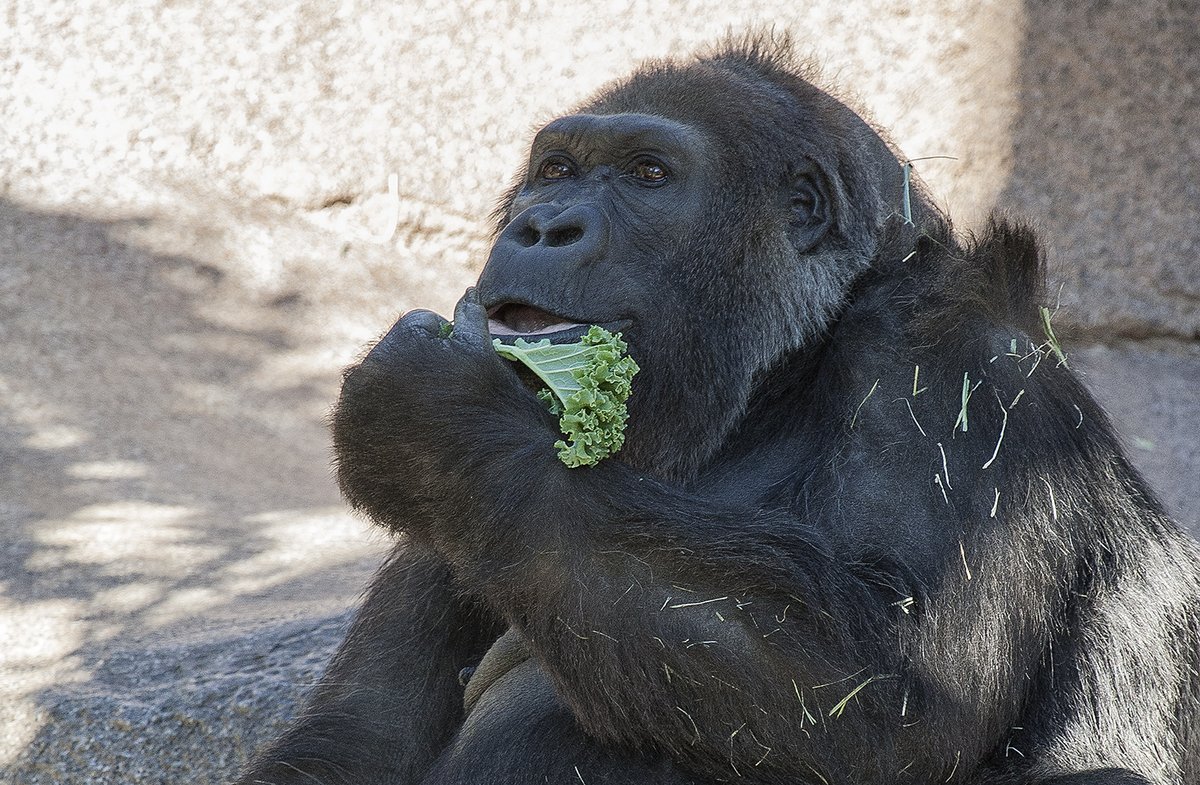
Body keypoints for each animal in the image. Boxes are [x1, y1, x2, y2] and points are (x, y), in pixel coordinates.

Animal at [234, 39, 1200, 785]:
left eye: (648, 175)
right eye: (557, 170)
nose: (543, 224)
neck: (767, 390)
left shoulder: (963, 358)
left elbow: (894, 694)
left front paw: (437, 426)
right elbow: (360, 737)